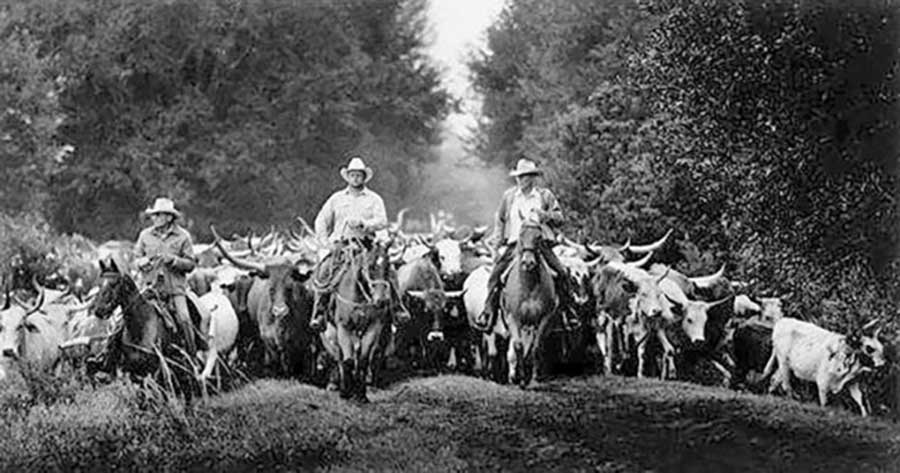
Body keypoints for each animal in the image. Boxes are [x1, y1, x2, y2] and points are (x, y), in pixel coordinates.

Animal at [322, 236, 396, 402]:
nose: (381, 300)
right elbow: (347, 361)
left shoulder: (373, 328)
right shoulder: (344, 327)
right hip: (331, 334)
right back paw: (337, 385)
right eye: (371, 266)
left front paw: (361, 394)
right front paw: (346, 392)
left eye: (388, 267)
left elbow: (363, 360)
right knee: (338, 357)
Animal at [502, 223, 560, 386]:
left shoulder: (544, 318)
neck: (529, 287)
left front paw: (535, 377)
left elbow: (536, 346)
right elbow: (518, 346)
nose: (528, 263)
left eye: (539, 238)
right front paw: (520, 379)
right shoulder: (513, 318)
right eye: (521, 236)